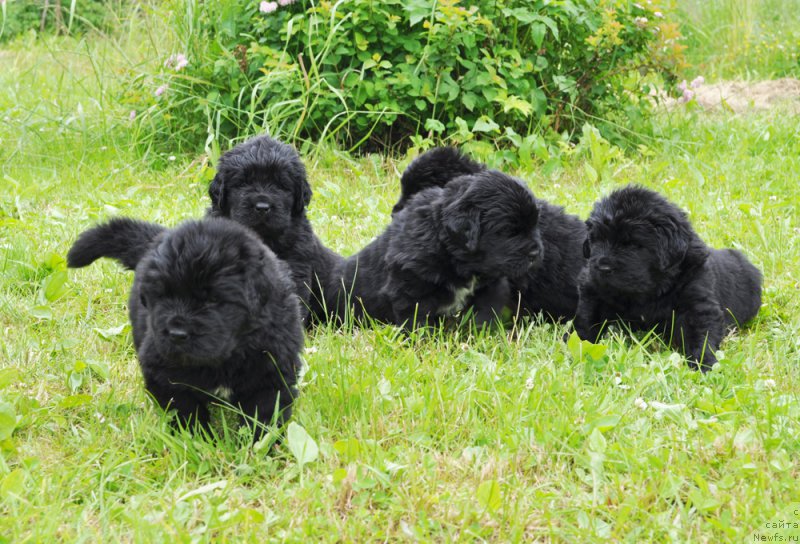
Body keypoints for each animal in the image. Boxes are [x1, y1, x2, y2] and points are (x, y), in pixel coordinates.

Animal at [65, 218, 302, 442]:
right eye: (163, 295)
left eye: (213, 299)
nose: (177, 335)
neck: (227, 358)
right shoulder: (163, 372)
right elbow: (186, 410)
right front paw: (198, 440)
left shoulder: (271, 374)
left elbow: (264, 417)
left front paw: (259, 447)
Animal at [326, 171, 544, 328]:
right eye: (507, 231)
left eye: (534, 224)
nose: (536, 254)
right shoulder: (410, 291)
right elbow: (418, 324)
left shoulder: (490, 288)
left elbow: (482, 316)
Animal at [576, 185, 764, 372]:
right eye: (596, 240)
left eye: (633, 244)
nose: (602, 268)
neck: (648, 290)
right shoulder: (593, 294)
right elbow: (586, 322)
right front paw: (579, 348)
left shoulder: (696, 301)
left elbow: (701, 334)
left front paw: (704, 363)